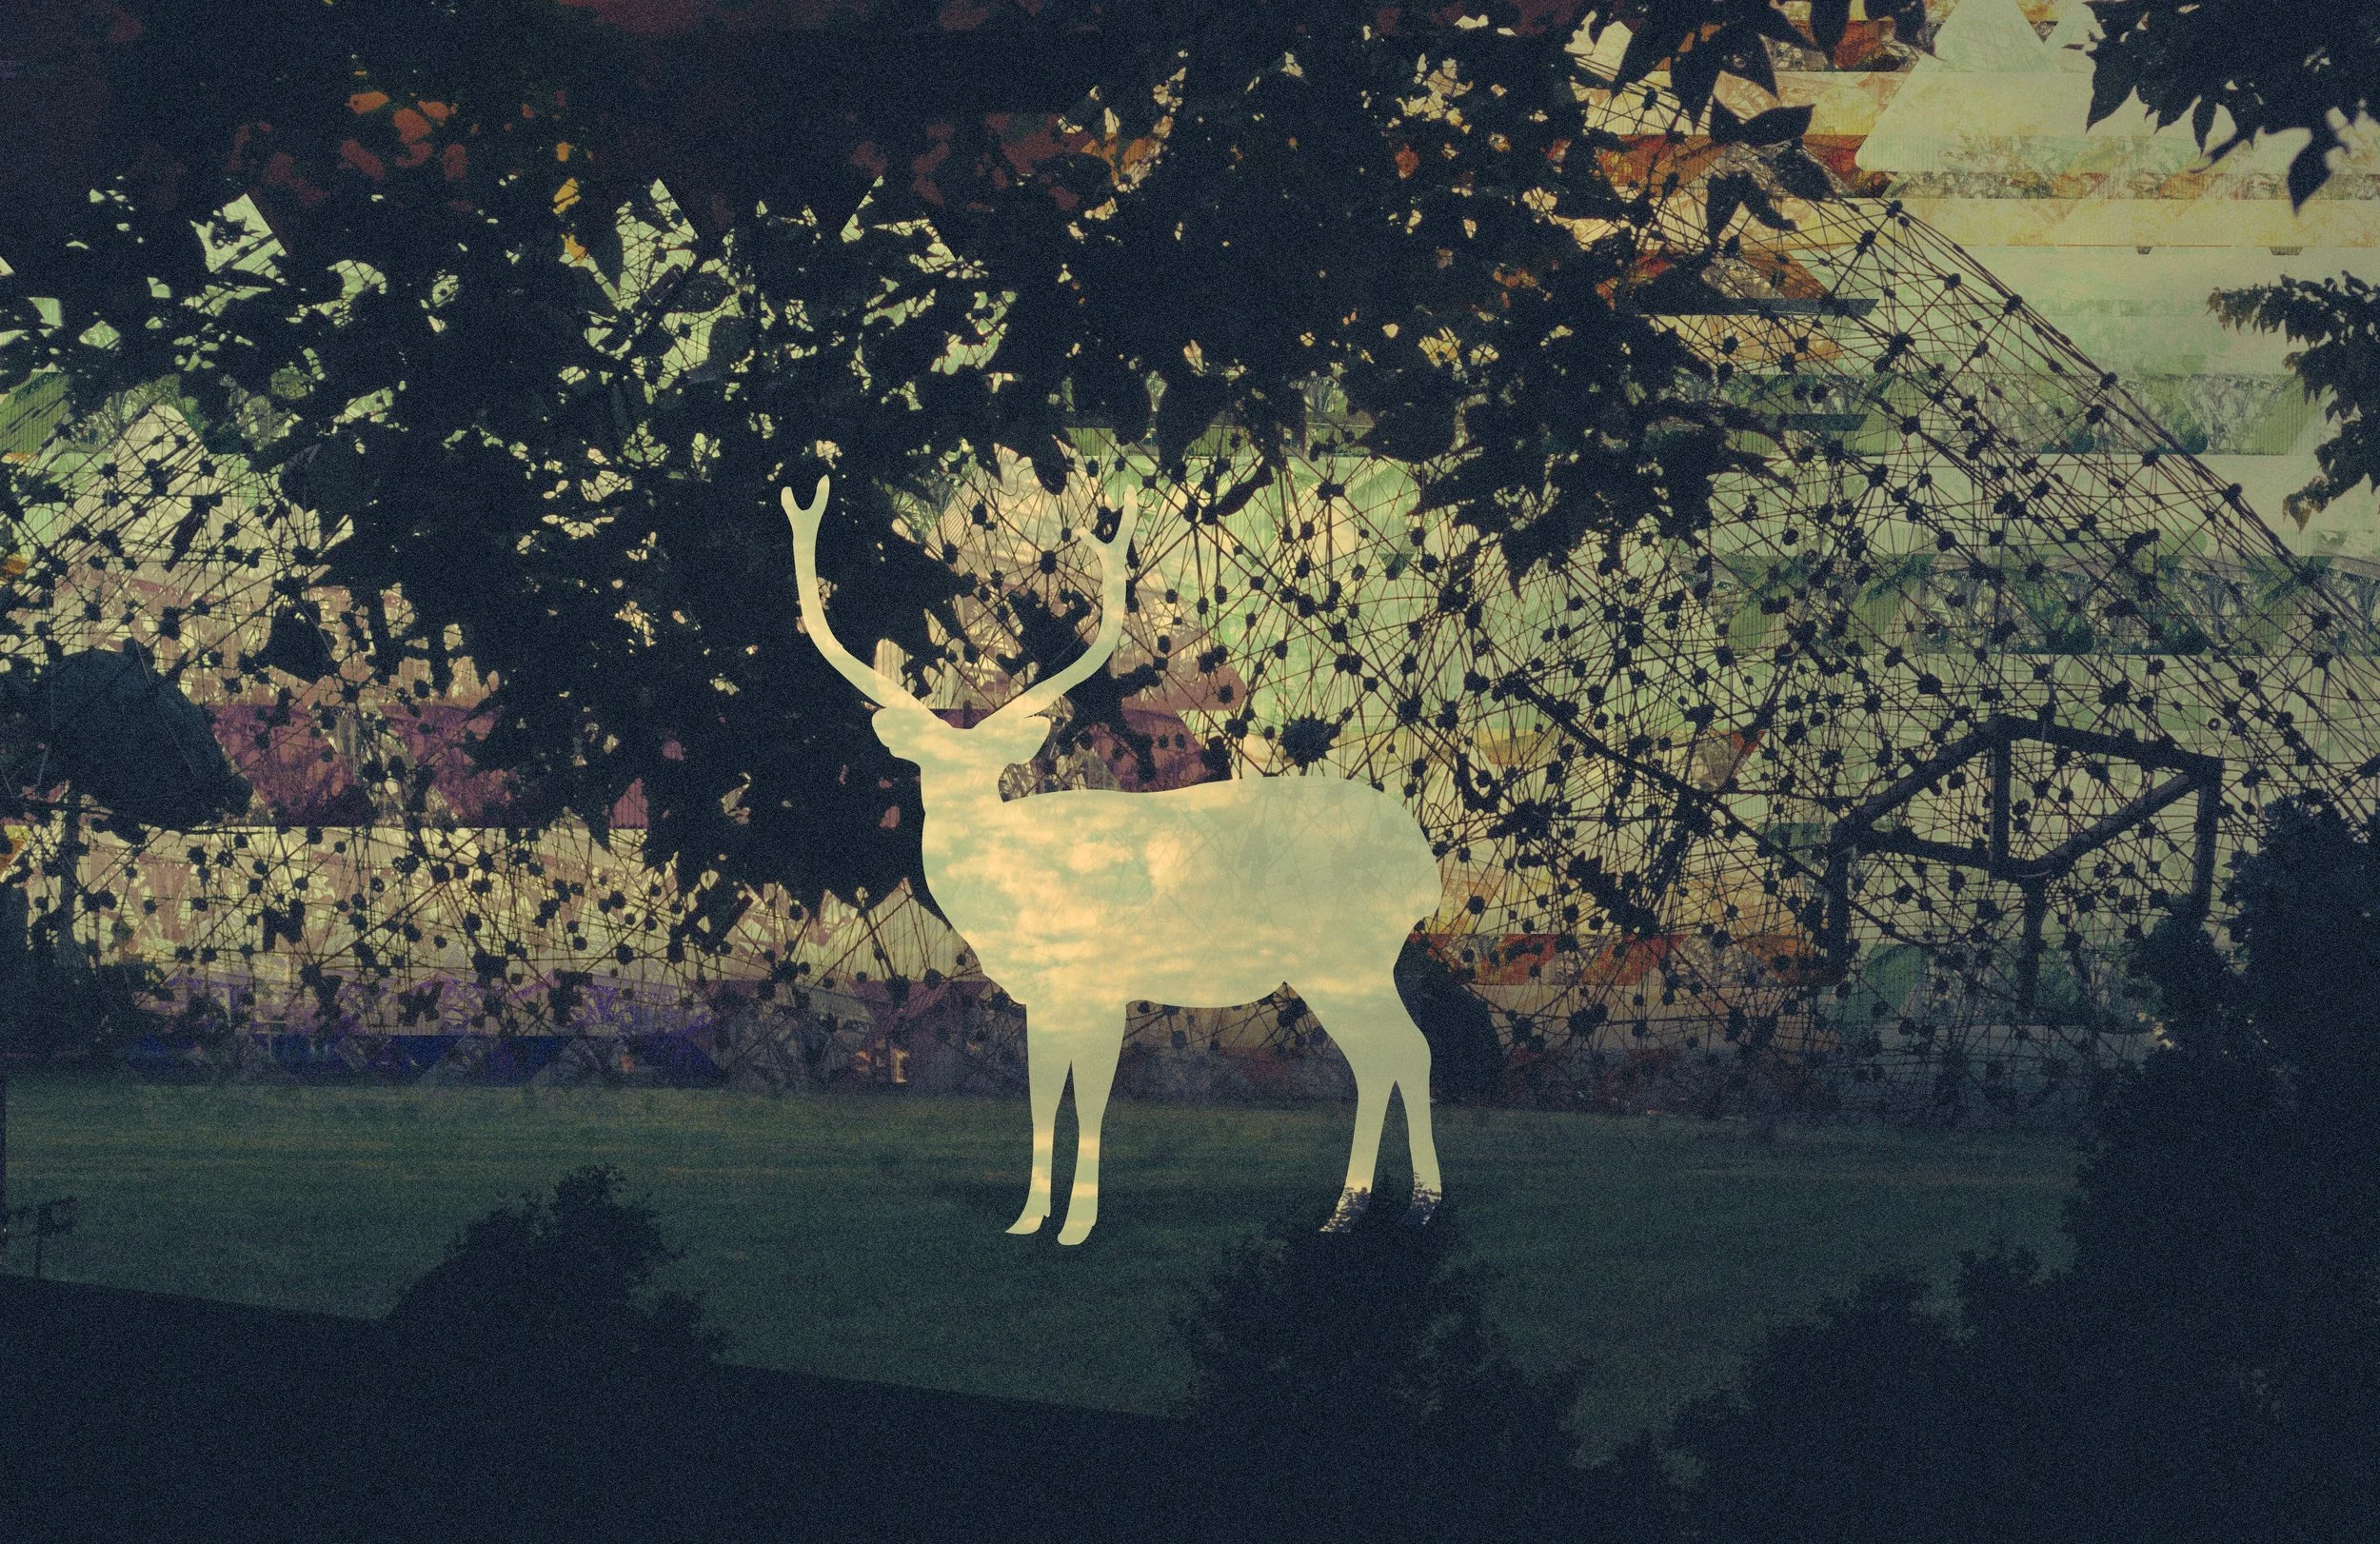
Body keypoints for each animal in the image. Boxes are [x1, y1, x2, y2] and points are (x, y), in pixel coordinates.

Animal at [783, 474, 1448, 1245]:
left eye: (985, 763)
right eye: (927, 762)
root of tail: (1424, 873)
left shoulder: (1097, 979)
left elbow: (1091, 1099)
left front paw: (1077, 1224)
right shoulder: (1046, 992)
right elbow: (1042, 1097)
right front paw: (1028, 1218)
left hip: (1344, 954)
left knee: (1404, 1051)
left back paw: (1409, 1206)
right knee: (1387, 1057)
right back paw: (1356, 1212)